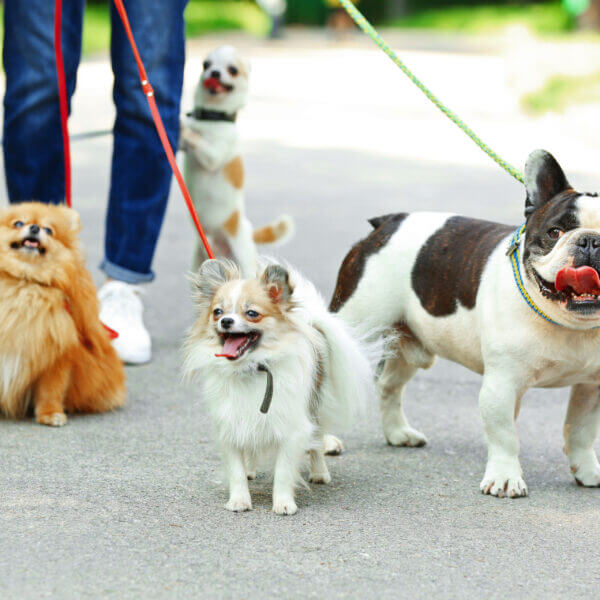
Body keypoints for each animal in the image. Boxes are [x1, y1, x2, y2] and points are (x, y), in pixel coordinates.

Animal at [0, 203, 125, 426]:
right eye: (18, 223)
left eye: (49, 230)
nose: (34, 228)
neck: (25, 282)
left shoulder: (56, 356)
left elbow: (50, 390)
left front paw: (50, 414)